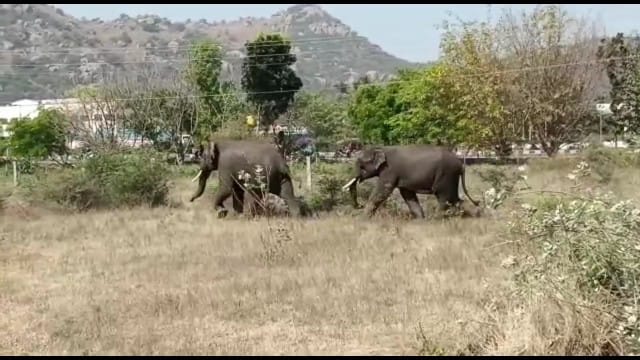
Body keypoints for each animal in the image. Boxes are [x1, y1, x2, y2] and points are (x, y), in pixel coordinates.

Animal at [342, 144, 478, 218]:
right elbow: (408, 195)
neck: (381, 148)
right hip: (451, 177)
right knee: (455, 199)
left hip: (446, 175)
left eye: (361, 165)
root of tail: (461, 164)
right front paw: (420, 220)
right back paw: (473, 215)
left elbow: (383, 191)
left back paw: (435, 219)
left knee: (444, 197)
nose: (360, 205)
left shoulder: (389, 170)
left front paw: (362, 219)